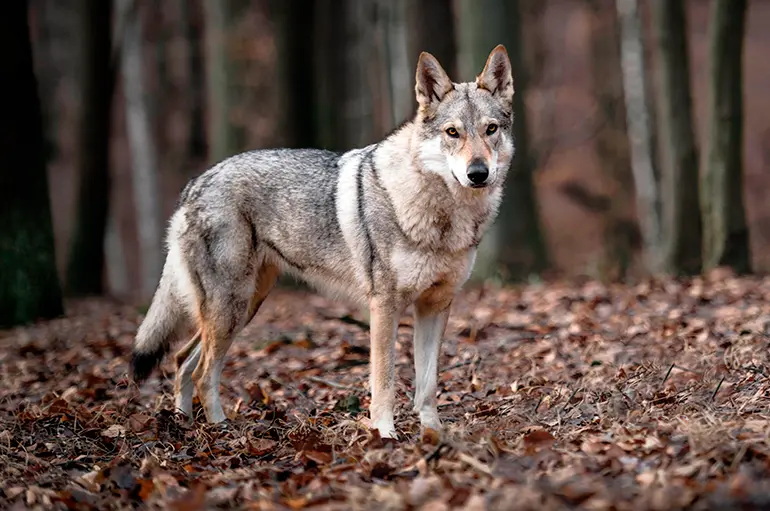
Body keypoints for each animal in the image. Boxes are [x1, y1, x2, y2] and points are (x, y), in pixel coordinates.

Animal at [130, 45, 515, 439]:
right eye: (453, 132)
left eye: (491, 129)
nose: (478, 173)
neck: (440, 214)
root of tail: (195, 183)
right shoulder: (384, 307)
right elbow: (385, 381)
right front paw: (385, 435)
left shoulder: (435, 307)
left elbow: (427, 385)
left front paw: (433, 435)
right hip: (231, 308)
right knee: (201, 372)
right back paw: (222, 431)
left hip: (243, 307)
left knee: (181, 360)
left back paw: (184, 425)